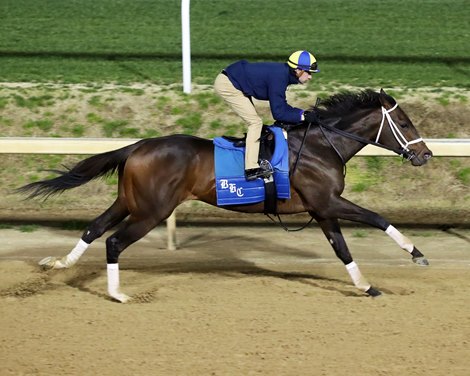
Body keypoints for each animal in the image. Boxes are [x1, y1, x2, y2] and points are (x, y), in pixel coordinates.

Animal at [18, 89, 434, 302]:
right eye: (404, 122)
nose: (426, 154)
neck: (321, 145)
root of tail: (137, 146)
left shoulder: (321, 208)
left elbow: (341, 248)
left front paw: (366, 285)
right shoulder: (328, 201)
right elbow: (378, 218)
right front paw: (416, 254)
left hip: (129, 202)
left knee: (94, 228)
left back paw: (59, 264)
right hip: (152, 210)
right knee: (114, 241)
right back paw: (118, 294)